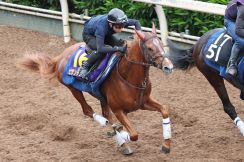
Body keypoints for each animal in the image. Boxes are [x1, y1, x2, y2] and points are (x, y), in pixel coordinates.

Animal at [16, 26, 173, 156]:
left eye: (161, 44)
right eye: (150, 48)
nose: (168, 67)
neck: (128, 77)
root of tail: (60, 56)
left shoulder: (143, 102)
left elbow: (164, 110)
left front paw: (166, 145)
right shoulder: (118, 109)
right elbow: (133, 134)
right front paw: (120, 134)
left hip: (101, 97)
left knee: (105, 114)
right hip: (73, 89)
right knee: (89, 111)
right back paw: (111, 129)